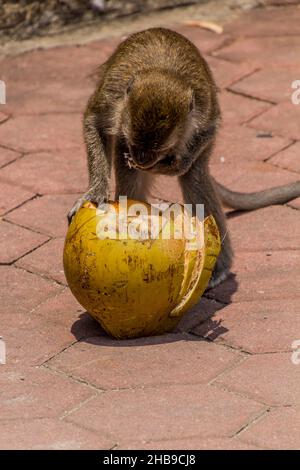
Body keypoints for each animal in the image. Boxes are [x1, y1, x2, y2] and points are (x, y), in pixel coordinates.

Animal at [68, 28, 300, 286]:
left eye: (156, 150)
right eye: (135, 144)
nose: (141, 160)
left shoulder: (204, 108)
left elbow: (209, 129)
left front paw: (175, 166)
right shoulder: (113, 97)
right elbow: (94, 121)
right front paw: (96, 191)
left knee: (194, 178)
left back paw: (219, 266)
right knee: (128, 171)